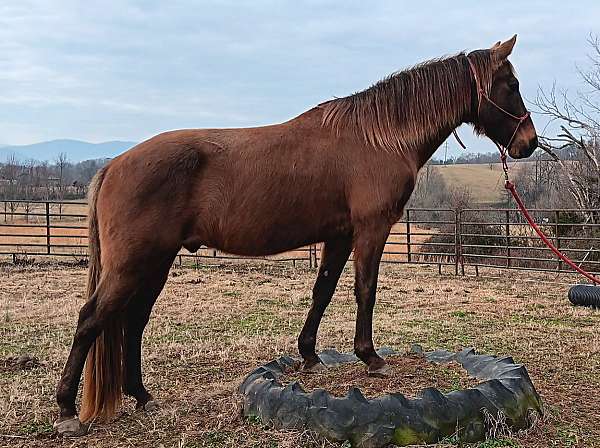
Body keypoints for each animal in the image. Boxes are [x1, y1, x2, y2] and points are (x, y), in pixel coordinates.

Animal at [52, 36, 540, 436]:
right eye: (511, 84)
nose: (529, 143)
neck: (378, 137)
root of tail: (114, 165)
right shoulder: (372, 228)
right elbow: (366, 289)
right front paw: (370, 357)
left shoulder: (339, 235)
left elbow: (323, 290)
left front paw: (309, 354)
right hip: (134, 263)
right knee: (91, 319)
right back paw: (67, 410)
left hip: (156, 261)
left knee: (133, 322)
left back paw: (141, 396)